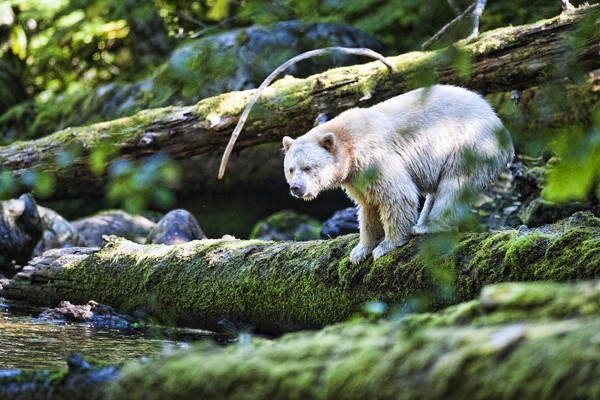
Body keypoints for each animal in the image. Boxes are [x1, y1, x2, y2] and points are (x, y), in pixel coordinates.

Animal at [284, 85, 512, 262]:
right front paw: (359, 251)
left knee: (455, 185)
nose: (296, 188)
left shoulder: (374, 158)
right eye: (291, 169)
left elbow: (396, 195)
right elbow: (368, 207)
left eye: (308, 167)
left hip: (469, 146)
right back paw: (423, 221)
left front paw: (385, 246)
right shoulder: (356, 177)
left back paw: (428, 227)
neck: (348, 145)